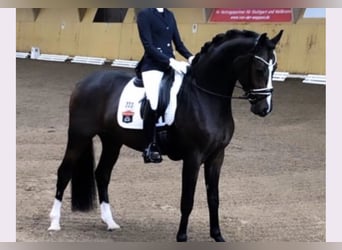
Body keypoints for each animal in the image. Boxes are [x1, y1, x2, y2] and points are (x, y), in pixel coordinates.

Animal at [48, 28, 284, 241]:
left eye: (275, 68)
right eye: (259, 68)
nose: (264, 108)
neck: (204, 97)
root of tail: (85, 82)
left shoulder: (217, 156)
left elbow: (213, 198)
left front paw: (217, 235)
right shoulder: (193, 157)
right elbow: (187, 199)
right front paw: (182, 236)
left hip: (113, 141)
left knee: (102, 174)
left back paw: (111, 223)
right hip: (79, 136)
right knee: (64, 172)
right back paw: (54, 223)